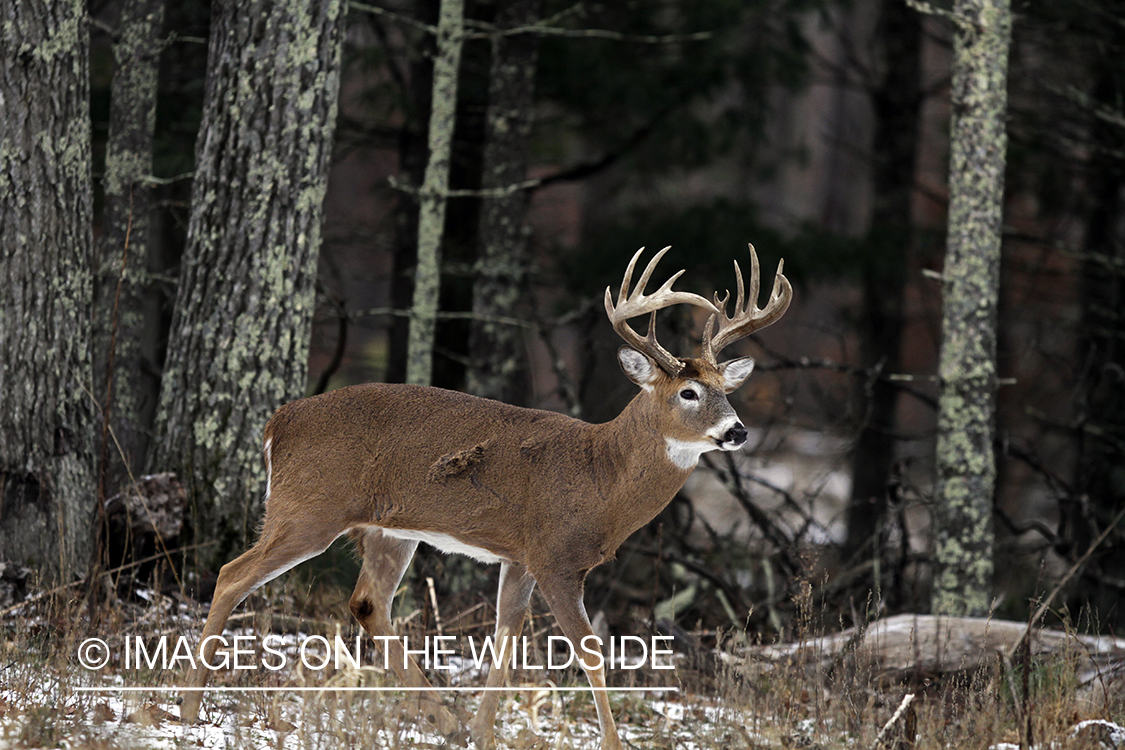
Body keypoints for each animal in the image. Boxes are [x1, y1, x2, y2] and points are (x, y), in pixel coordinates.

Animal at [182, 246, 792, 750]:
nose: (738, 431)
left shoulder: (519, 557)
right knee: (232, 574)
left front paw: (481, 731)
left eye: (726, 389)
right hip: (309, 507)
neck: (601, 478)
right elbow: (590, 650)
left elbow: (506, 634)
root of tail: (276, 424)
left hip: (388, 529)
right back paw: (189, 708)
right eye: (688, 392)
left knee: (367, 603)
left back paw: (444, 720)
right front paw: (613, 743)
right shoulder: (554, 556)